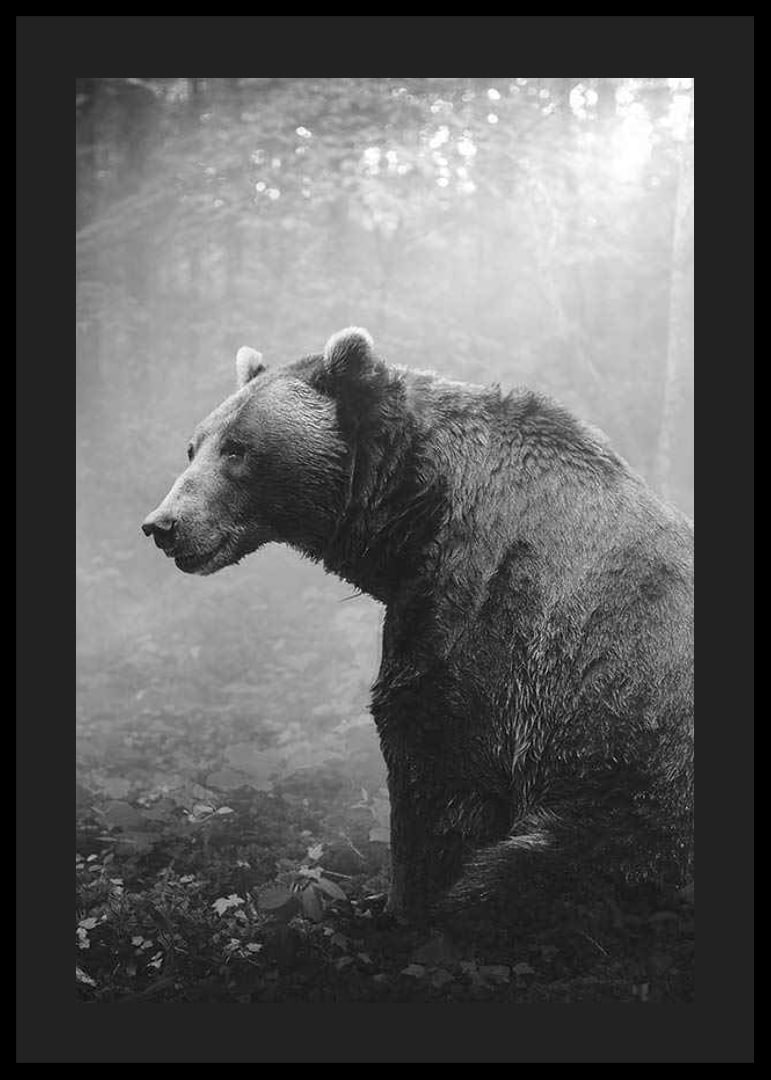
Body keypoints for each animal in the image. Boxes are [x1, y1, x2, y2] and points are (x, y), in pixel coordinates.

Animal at [142, 328, 694, 925]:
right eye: (194, 446)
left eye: (238, 448)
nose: (163, 525)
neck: (414, 518)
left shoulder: (489, 618)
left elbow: (437, 771)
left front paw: (400, 907)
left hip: (632, 810)